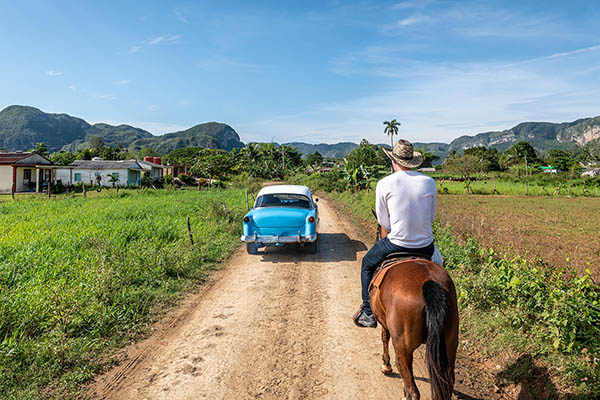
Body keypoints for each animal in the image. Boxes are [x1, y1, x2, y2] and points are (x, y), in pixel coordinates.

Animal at [370, 219, 460, 400]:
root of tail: (428, 282)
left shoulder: (384, 323)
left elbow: (384, 338)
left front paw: (386, 365)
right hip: (450, 343)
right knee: (447, 384)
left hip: (403, 347)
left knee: (412, 389)